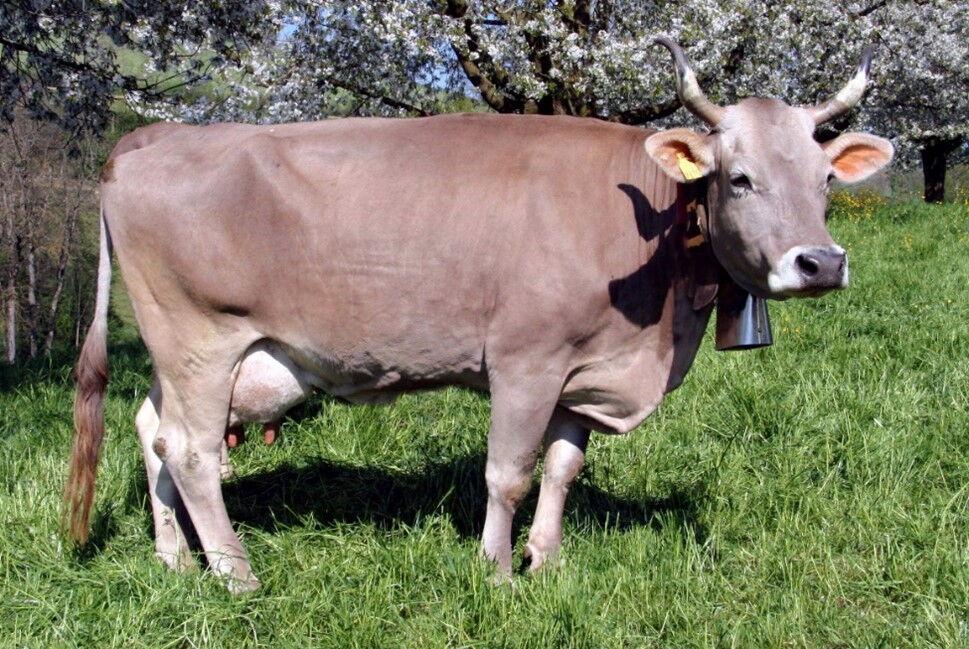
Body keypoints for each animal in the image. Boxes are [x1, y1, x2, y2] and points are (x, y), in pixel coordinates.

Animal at [64, 39, 893, 592]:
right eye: (738, 177)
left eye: (824, 179)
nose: (819, 263)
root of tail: (153, 137)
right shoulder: (527, 360)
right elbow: (508, 473)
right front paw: (495, 572)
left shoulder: (584, 368)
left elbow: (562, 468)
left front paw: (546, 559)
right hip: (200, 339)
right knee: (194, 451)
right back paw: (237, 575)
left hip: (177, 353)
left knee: (152, 430)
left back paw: (175, 558)